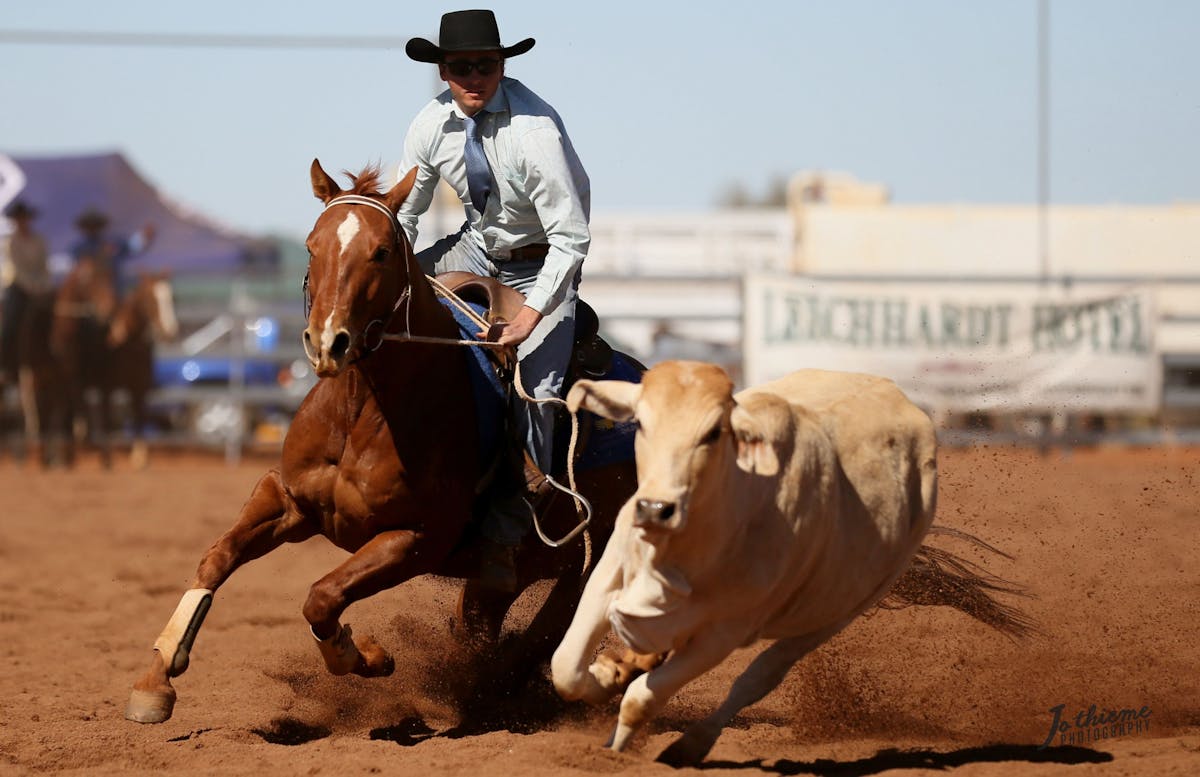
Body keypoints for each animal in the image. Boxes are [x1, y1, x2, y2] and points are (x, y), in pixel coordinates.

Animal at [549, 362, 936, 767]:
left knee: (758, 678)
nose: (655, 509)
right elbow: (567, 668)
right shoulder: (605, 580)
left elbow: (642, 699)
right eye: (640, 422)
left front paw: (615, 752)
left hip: (839, 615)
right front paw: (604, 677)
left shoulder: (723, 634)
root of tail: (898, 395)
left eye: (713, 432)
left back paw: (693, 743)